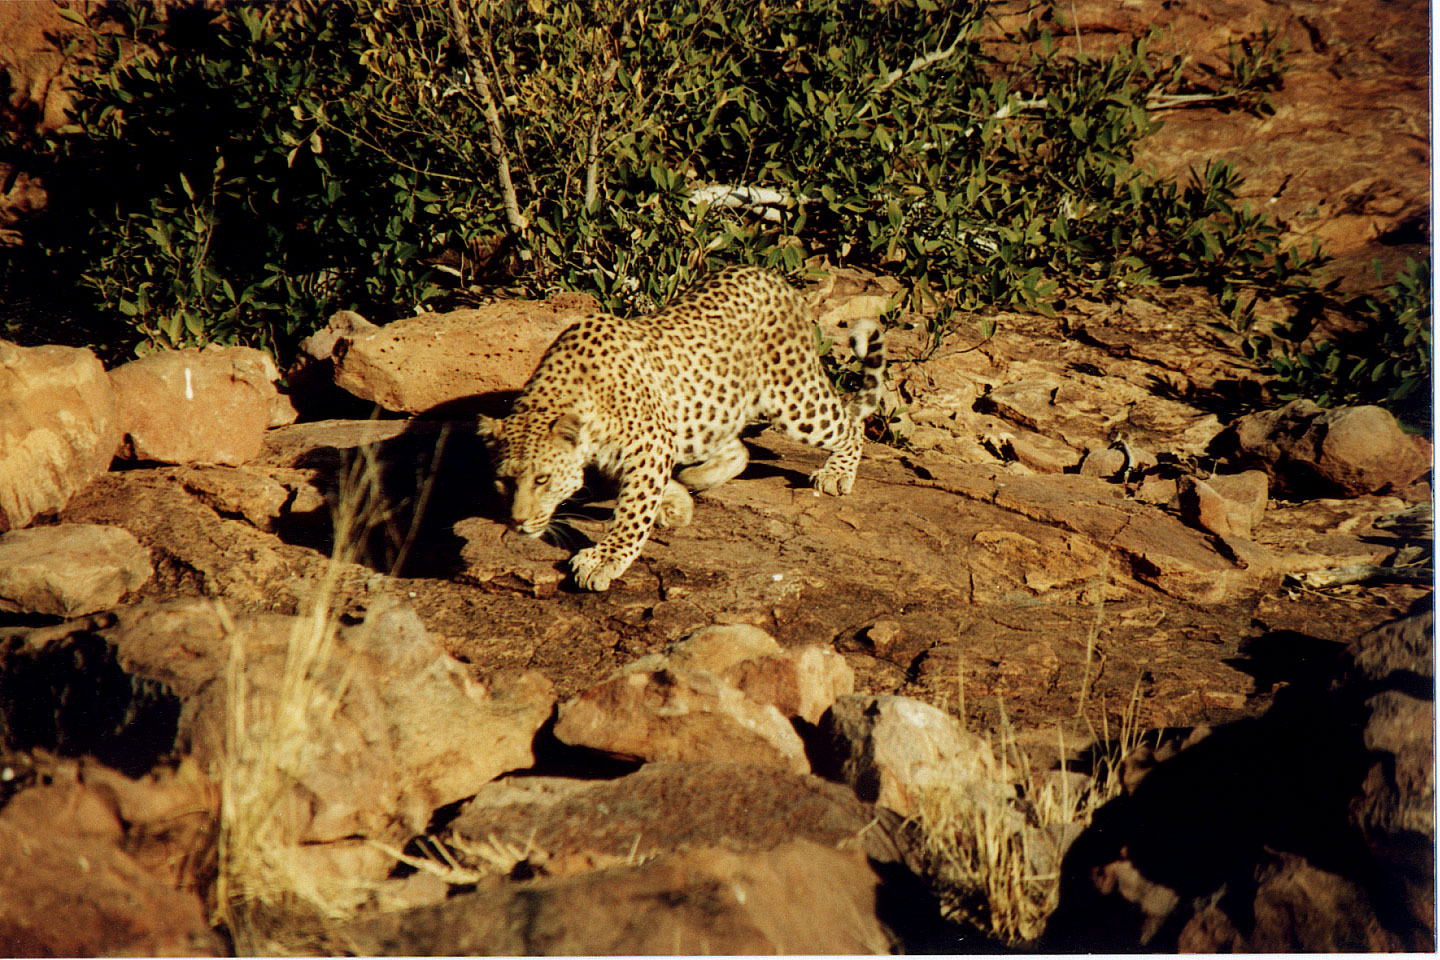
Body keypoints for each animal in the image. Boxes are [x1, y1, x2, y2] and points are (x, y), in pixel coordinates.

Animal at [478, 264, 881, 592]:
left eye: (542, 479)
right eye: (504, 481)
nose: (518, 522)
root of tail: (773, 276)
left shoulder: (649, 443)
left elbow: (634, 507)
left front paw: (605, 558)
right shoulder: (646, 446)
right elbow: (639, 491)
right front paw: (675, 505)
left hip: (794, 397)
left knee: (849, 424)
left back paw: (836, 473)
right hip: (709, 407)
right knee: (739, 449)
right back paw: (697, 479)